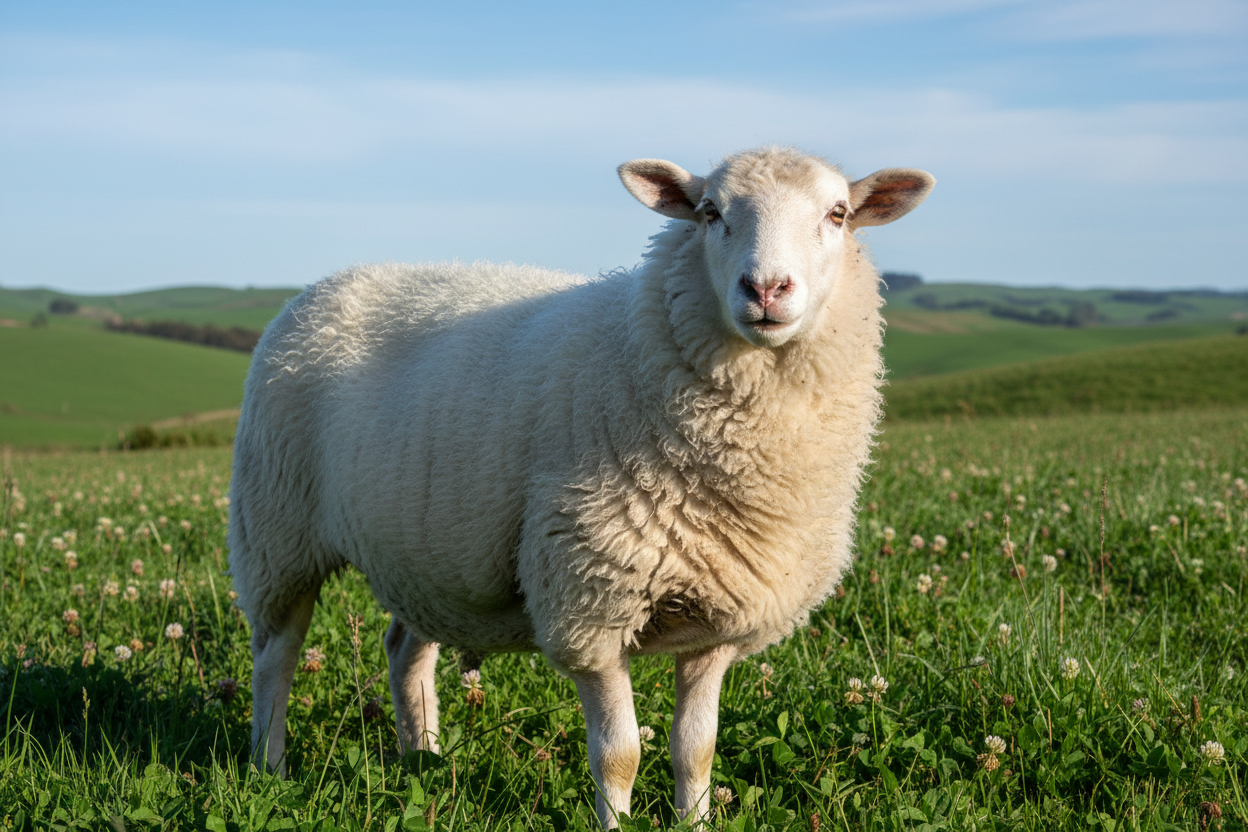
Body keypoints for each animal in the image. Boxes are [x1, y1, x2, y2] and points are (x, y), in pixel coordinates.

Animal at [227, 146, 934, 827]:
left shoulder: (721, 621)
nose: (766, 288)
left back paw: (421, 758)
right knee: (275, 654)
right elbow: (619, 755)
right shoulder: (590, 604)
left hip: (425, 551)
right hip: (276, 528)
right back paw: (270, 768)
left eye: (837, 214)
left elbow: (696, 748)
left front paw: (696, 820)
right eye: (709, 211)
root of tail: (326, 286)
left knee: (405, 650)